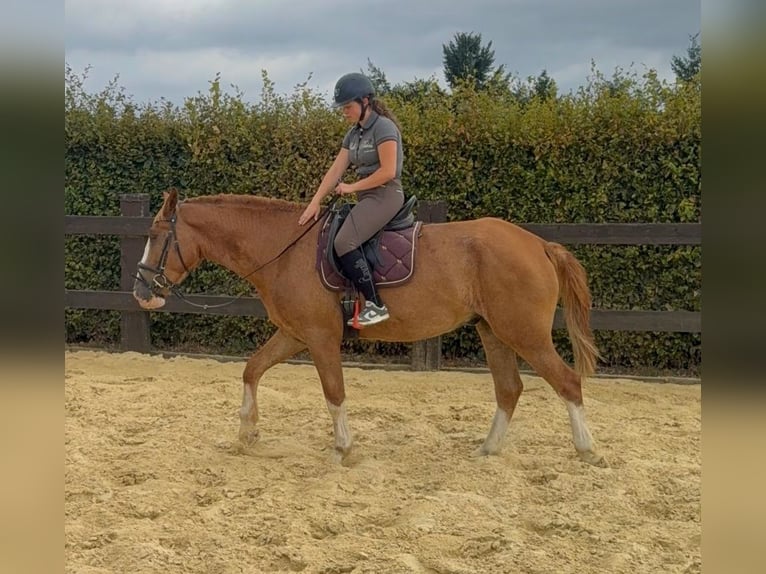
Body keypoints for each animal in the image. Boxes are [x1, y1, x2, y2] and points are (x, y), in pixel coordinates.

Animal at [133, 188, 606, 467]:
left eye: (156, 236)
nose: (141, 291)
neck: (285, 249)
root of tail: (539, 244)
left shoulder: (320, 338)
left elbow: (334, 393)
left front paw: (344, 448)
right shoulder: (294, 335)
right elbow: (252, 369)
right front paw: (247, 432)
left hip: (524, 334)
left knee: (567, 382)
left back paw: (587, 450)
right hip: (493, 332)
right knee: (510, 389)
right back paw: (488, 449)